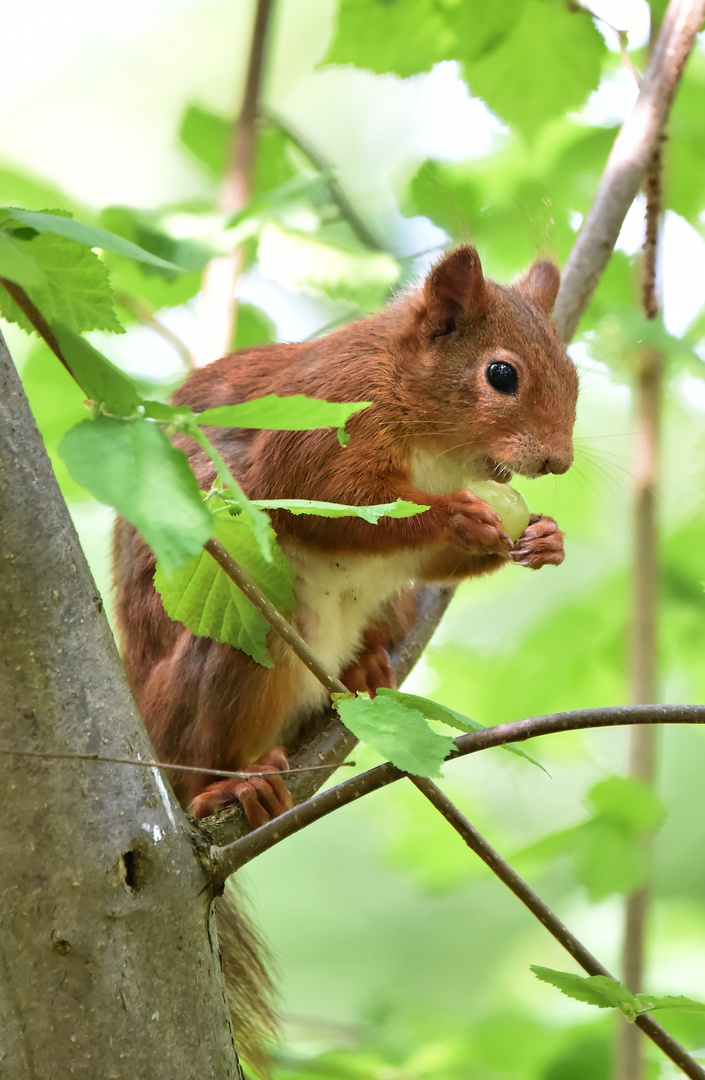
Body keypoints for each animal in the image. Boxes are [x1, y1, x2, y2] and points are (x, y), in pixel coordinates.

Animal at [113, 247, 578, 825]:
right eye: (501, 374)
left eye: (573, 373)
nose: (559, 461)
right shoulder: (327, 417)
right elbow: (329, 505)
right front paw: (455, 515)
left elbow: (428, 564)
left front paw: (547, 538)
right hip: (234, 642)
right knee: (194, 766)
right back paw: (231, 788)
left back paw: (366, 664)